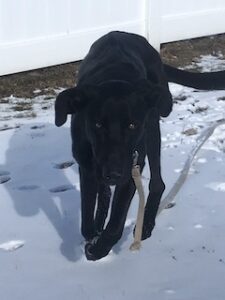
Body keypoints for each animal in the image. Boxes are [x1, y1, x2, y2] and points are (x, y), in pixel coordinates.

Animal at [54, 31, 225, 260]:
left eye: (132, 125)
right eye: (98, 124)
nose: (113, 174)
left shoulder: (131, 167)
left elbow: (116, 222)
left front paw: (100, 248)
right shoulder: (87, 164)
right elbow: (88, 215)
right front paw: (94, 234)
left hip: (152, 128)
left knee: (158, 183)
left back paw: (146, 224)